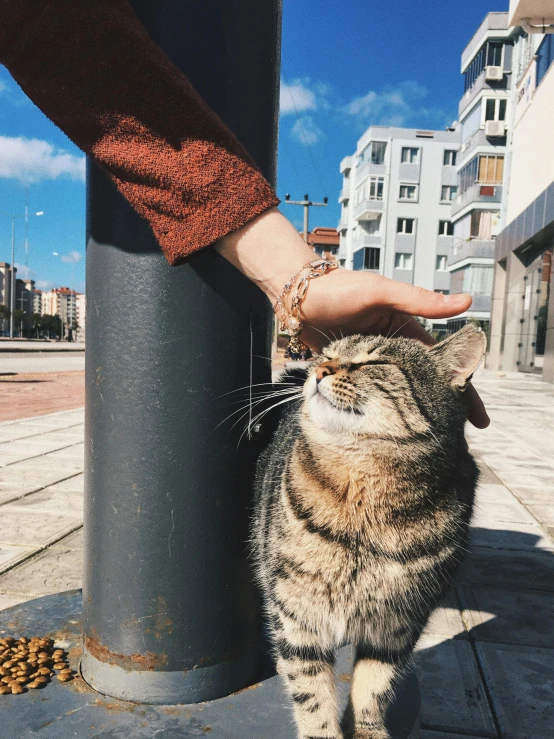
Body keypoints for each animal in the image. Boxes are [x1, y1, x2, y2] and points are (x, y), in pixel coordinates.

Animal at [252, 326, 486, 736]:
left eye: (373, 361)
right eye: (326, 354)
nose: (318, 369)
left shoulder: (399, 624)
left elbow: (375, 685)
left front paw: (367, 728)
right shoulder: (297, 611)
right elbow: (310, 689)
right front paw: (321, 731)